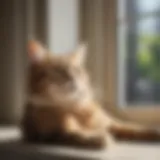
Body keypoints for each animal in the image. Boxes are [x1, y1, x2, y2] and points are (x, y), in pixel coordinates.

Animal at [21, 40, 160, 149]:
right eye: (58, 70)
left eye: (77, 70)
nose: (73, 79)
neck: (75, 109)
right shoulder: (51, 135)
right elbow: (76, 134)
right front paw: (97, 137)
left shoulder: (111, 123)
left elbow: (134, 128)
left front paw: (154, 132)